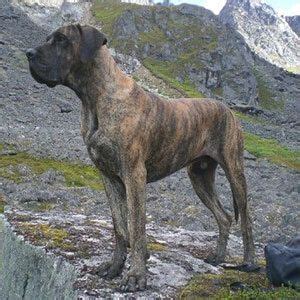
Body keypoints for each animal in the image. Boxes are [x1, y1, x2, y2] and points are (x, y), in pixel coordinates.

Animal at [27, 24, 256, 292]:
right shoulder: (109, 177)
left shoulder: (134, 175)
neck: (96, 99)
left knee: (246, 219)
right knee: (224, 217)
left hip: (234, 170)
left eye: (62, 39)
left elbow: (136, 227)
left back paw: (249, 262)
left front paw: (136, 275)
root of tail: (228, 109)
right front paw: (115, 266)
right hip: (199, 177)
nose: (29, 53)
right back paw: (218, 256)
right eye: (48, 39)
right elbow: (119, 226)